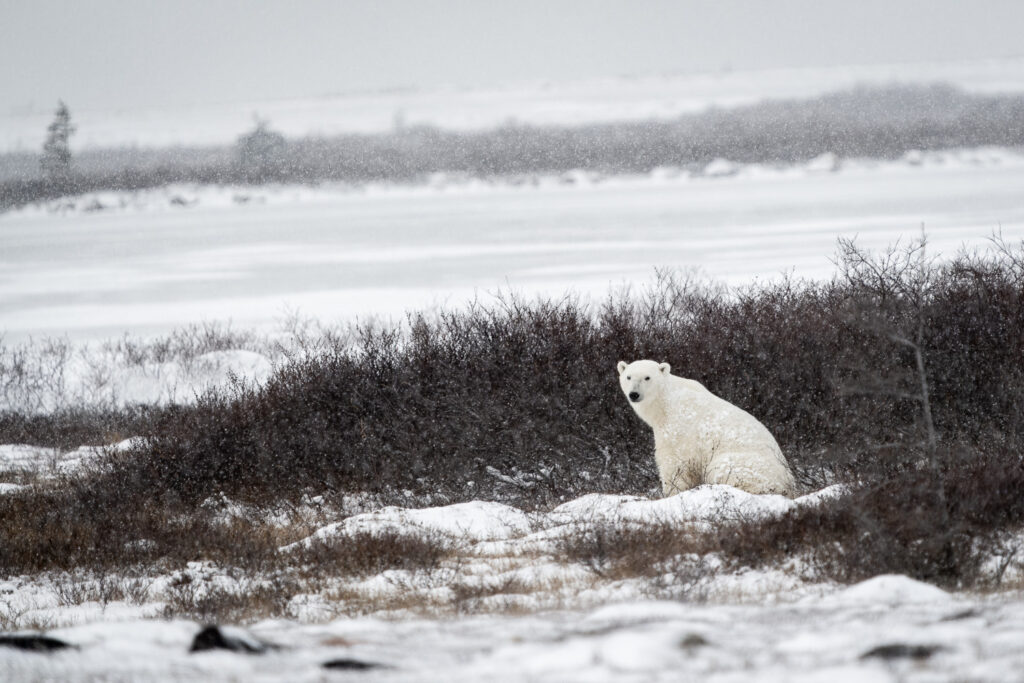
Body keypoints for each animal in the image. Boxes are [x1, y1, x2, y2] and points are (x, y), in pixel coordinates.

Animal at [617, 359, 796, 497]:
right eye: (628, 377)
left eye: (647, 377)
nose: (634, 394)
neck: (664, 402)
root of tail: (789, 483)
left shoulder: (677, 429)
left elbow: (673, 464)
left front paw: (670, 493)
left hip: (748, 465)